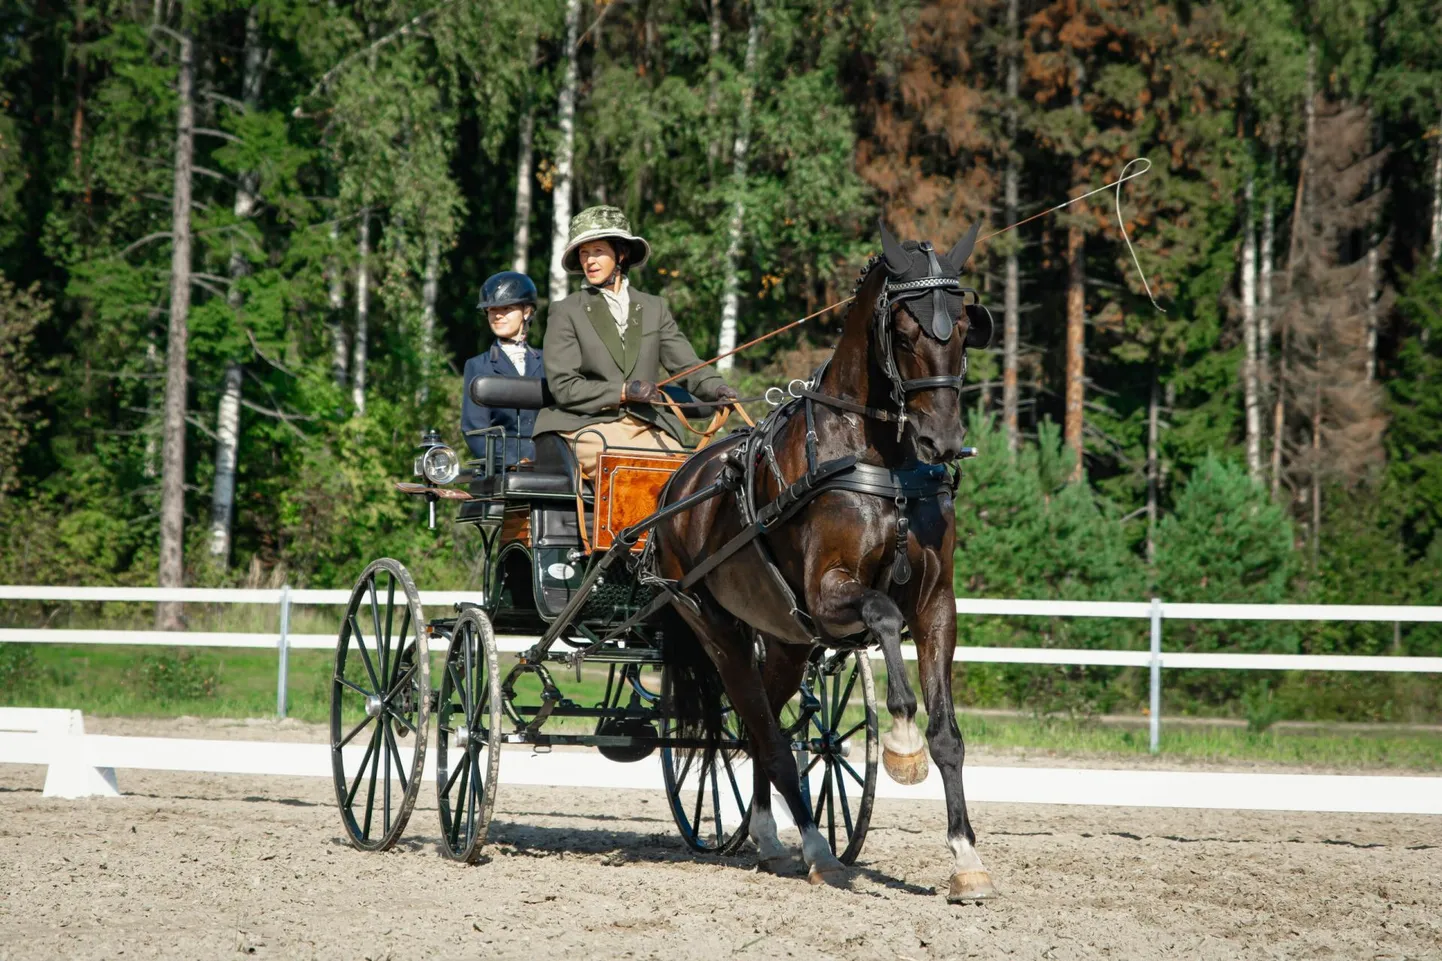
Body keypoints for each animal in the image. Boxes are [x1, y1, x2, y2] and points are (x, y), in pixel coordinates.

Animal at [660, 220, 997, 894]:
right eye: (904, 331)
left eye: (964, 329)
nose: (943, 442)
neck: (882, 462)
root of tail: (680, 483)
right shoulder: (828, 594)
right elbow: (884, 617)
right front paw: (901, 741)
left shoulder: (936, 602)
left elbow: (948, 733)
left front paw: (966, 859)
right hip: (715, 628)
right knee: (761, 726)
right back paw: (815, 847)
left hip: (786, 639)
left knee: (765, 721)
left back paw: (771, 838)